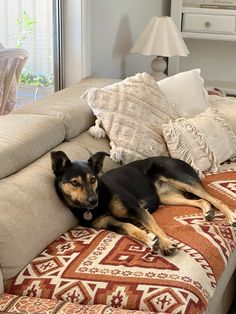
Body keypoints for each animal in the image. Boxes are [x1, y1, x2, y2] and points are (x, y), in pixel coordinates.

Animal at [50, 151, 236, 256]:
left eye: (93, 179)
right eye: (74, 183)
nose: (93, 201)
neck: (101, 197)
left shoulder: (138, 210)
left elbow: (155, 227)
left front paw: (166, 243)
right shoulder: (110, 222)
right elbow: (132, 229)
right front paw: (149, 240)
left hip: (181, 179)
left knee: (215, 199)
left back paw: (231, 216)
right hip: (166, 196)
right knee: (201, 200)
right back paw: (207, 211)